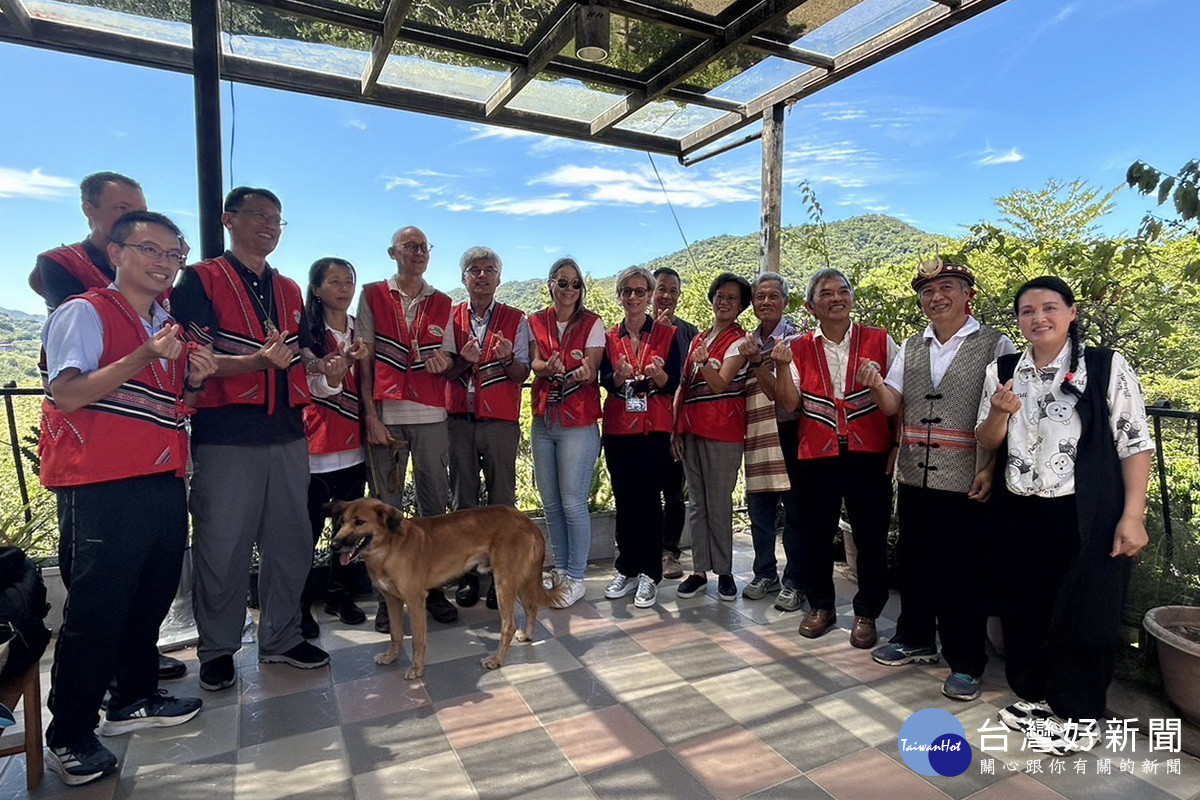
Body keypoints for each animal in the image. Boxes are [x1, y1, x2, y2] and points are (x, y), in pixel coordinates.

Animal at [331, 503, 564, 681]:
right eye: (342, 521)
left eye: (359, 522)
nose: (334, 545)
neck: (389, 548)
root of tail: (525, 520)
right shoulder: (391, 600)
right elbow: (395, 634)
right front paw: (390, 657)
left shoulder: (415, 601)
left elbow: (417, 640)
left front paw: (416, 669)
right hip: (521, 581)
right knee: (532, 608)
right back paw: (527, 635)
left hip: (504, 584)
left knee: (509, 625)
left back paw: (496, 660)